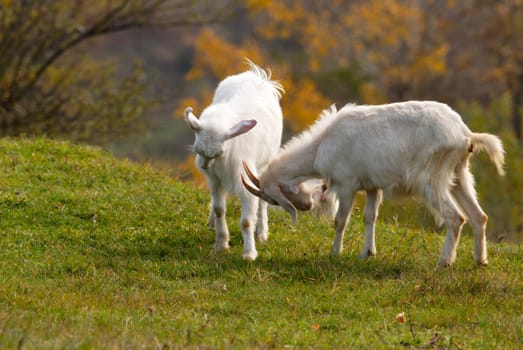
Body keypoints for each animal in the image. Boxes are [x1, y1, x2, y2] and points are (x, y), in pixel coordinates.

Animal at [184, 60, 282, 260]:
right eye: (198, 150)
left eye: (218, 153)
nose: (203, 167)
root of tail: (258, 77)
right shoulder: (215, 180)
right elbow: (219, 209)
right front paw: (221, 244)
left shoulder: (245, 180)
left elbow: (246, 221)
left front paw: (250, 254)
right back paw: (211, 221)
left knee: (263, 199)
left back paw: (262, 233)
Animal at [244, 101, 506, 268]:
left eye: (273, 198)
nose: (307, 206)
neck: (321, 145)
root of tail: (465, 135)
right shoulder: (372, 186)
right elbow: (370, 217)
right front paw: (367, 254)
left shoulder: (347, 184)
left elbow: (341, 220)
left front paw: (335, 253)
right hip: (459, 173)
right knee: (479, 216)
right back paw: (480, 261)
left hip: (431, 177)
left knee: (455, 218)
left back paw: (444, 262)